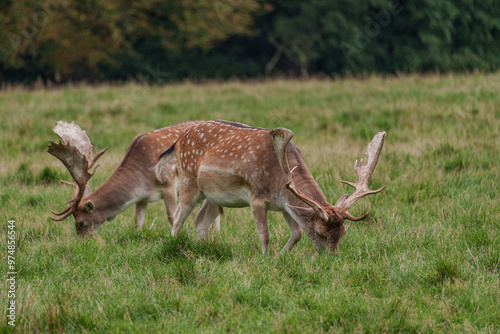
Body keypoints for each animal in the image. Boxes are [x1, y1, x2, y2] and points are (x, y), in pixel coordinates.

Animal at [48, 120, 219, 237]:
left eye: (80, 222)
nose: (83, 243)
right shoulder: (142, 198)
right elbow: (138, 222)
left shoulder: (168, 183)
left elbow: (172, 217)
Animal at [156, 120, 386, 253]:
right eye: (320, 232)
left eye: (343, 233)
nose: (332, 259)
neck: (277, 180)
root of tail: (177, 140)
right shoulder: (256, 199)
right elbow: (264, 235)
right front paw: (265, 259)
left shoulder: (285, 204)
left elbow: (297, 233)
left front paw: (281, 256)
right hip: (188, 181)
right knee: (178, 218)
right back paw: (173, 246)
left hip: (212, 196)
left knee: (200, 220)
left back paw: (205, 249)